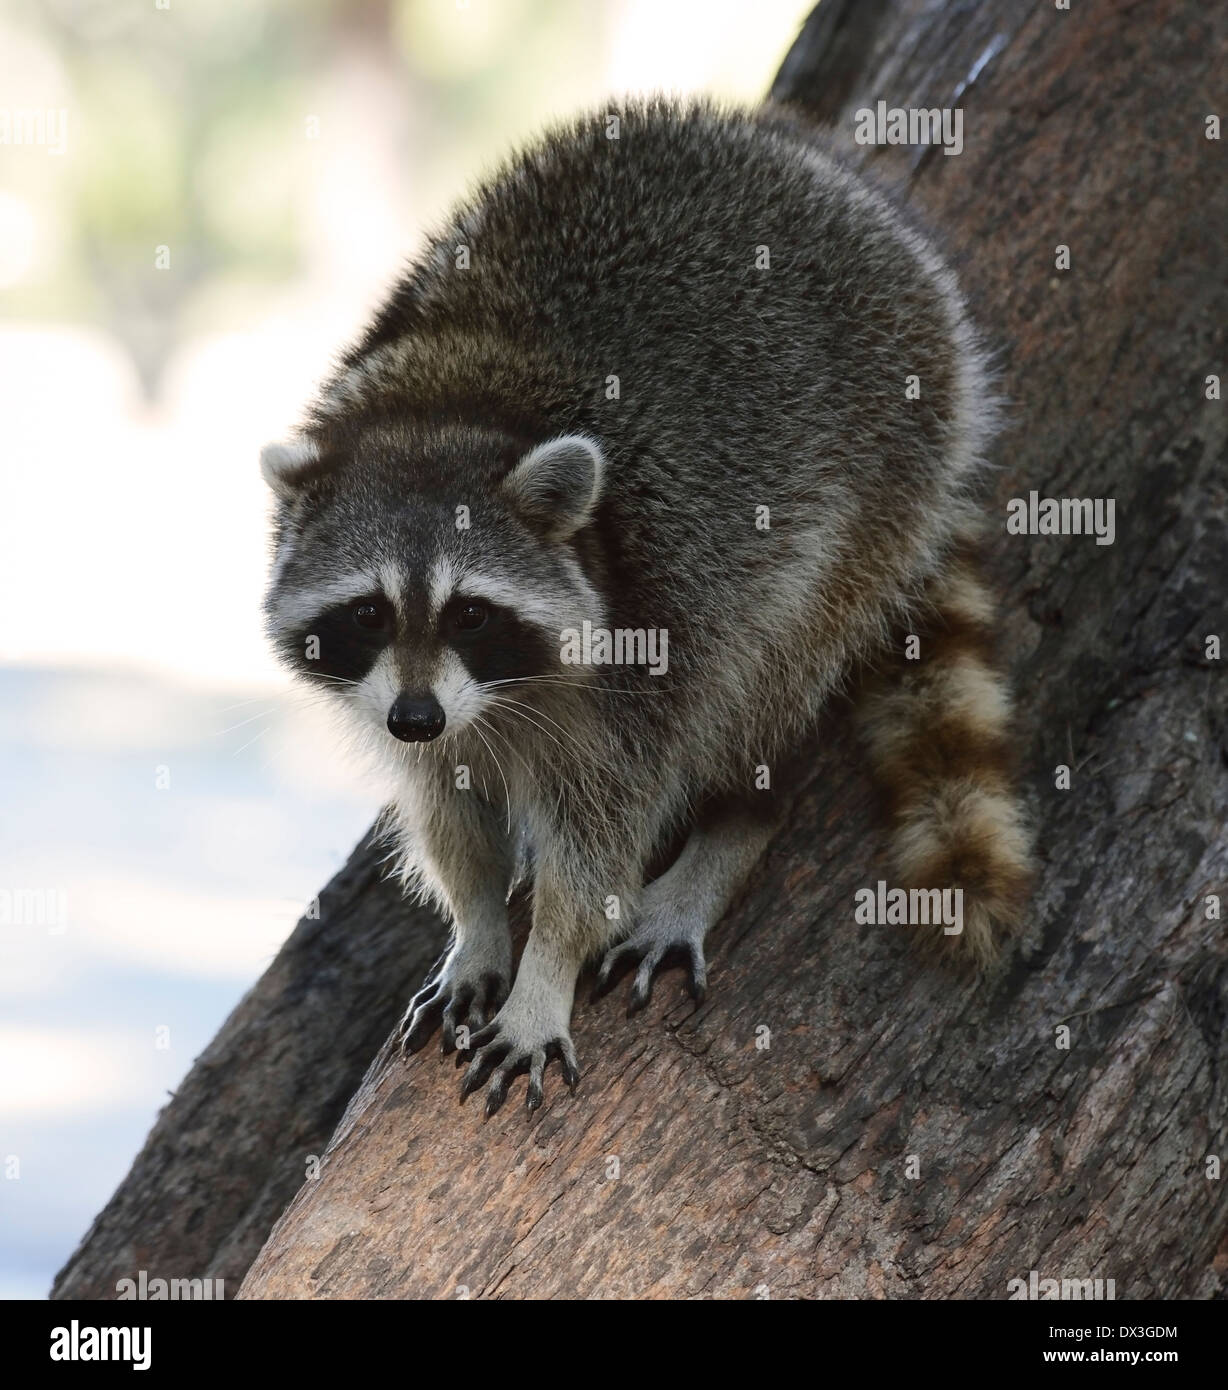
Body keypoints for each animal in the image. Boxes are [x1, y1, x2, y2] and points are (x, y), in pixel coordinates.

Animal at [264, 97, 1034, 1117]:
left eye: (469, 614)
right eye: (368, 615)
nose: (417, 716)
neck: (443, 412)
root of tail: (828, 171)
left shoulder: (653, 629)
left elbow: (602, 835)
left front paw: (546, 968)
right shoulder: (408, 697)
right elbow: (448, 804)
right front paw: (477, 924)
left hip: (884, 467)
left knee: (774, 662)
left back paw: (738, 815)